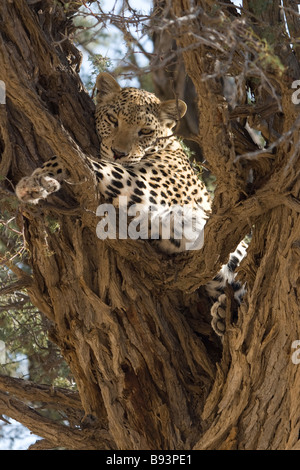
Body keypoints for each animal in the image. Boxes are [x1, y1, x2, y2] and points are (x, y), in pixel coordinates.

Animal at [14, 71, 246, 338]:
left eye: (145, 131)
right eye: (113, 119)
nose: (118, 152)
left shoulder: (146, 188)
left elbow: (86, 161)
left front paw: (36, 180)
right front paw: (40, 182)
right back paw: (223, 313)